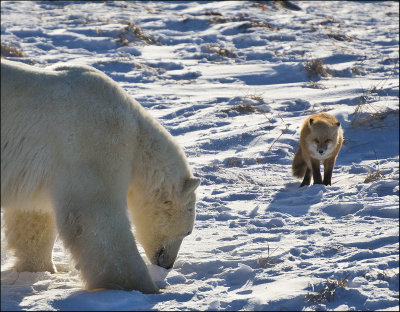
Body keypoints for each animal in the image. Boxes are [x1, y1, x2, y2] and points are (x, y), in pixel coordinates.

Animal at [0, 59, 200, 294]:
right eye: (187, 232)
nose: (167, 264)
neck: (135, 132)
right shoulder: (96, 141)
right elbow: (97, 217)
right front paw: (142, 287)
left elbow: (32, 214)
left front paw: (41, 269)